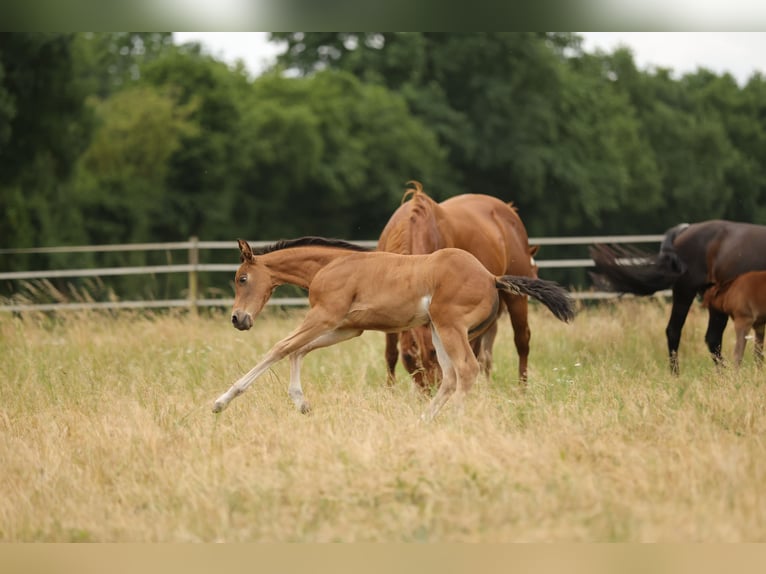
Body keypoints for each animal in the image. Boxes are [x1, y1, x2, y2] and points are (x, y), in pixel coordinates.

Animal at [212, 237, 574, 420]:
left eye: (242, 279)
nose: (238, 319)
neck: (330, 265)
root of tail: (491, 276)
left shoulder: (324, 316)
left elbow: (280, 348)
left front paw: (221, 401)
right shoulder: (345, 327)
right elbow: (297, 350)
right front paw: (302, 403)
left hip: (450, 327)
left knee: (466, 370)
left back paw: (454, 422)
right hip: (439, 330)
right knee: (450, 376)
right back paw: (423, 422)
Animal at [377, 181, 540, 391]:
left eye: (434, 352)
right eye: (410, 359)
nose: (431, 389)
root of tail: (508, 211)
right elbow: (391, 353)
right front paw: (390, 390)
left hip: (514, 298)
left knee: (521, 340)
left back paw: (521, 388)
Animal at [590, 220, 766, 374]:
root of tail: (685, 229)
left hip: (715, 302)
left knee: (713, 338)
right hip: (685, 291)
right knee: (674, 331)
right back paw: (677, 375)